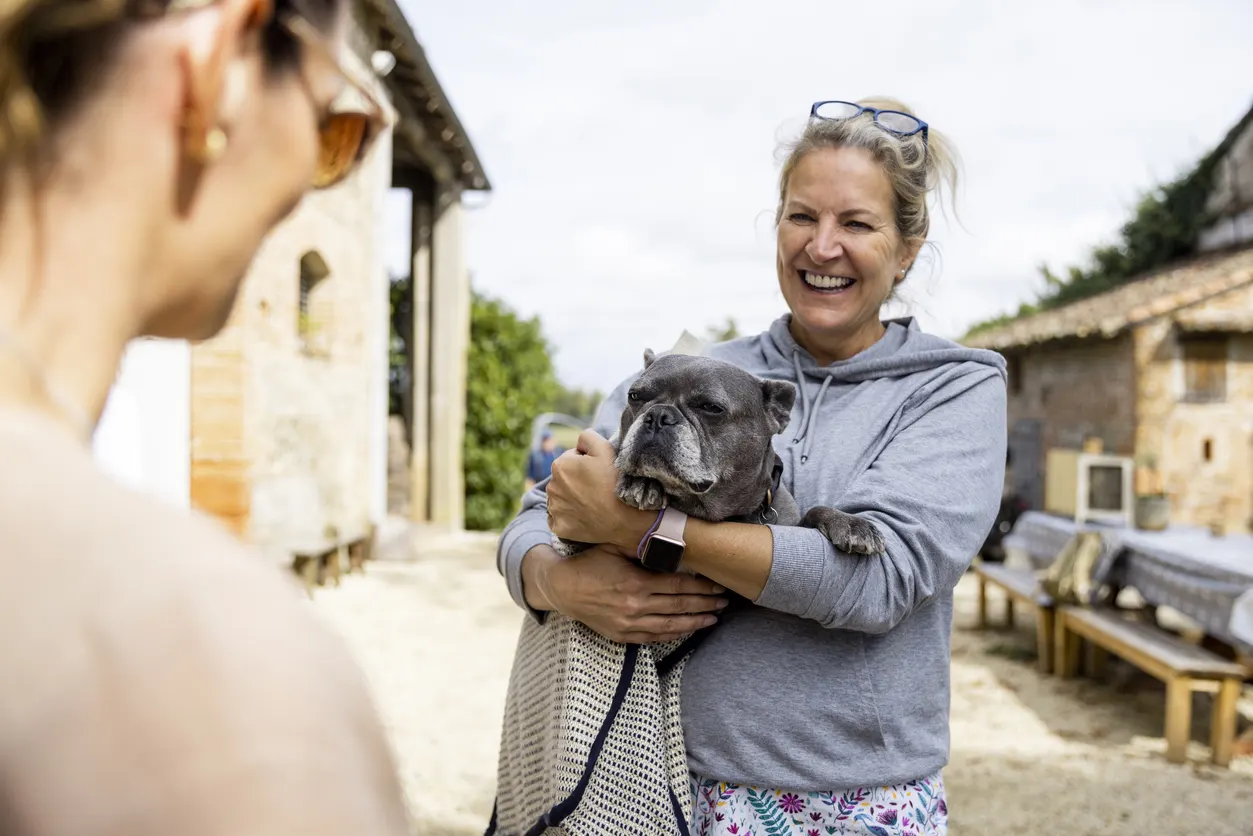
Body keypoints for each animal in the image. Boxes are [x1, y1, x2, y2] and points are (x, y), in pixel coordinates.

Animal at [553, 345, 887, 561]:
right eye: (635, 396)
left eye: (711, 407)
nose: (658, 415)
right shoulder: (575, 532)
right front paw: (642, 483)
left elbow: (815, 511)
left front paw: (851, 523)